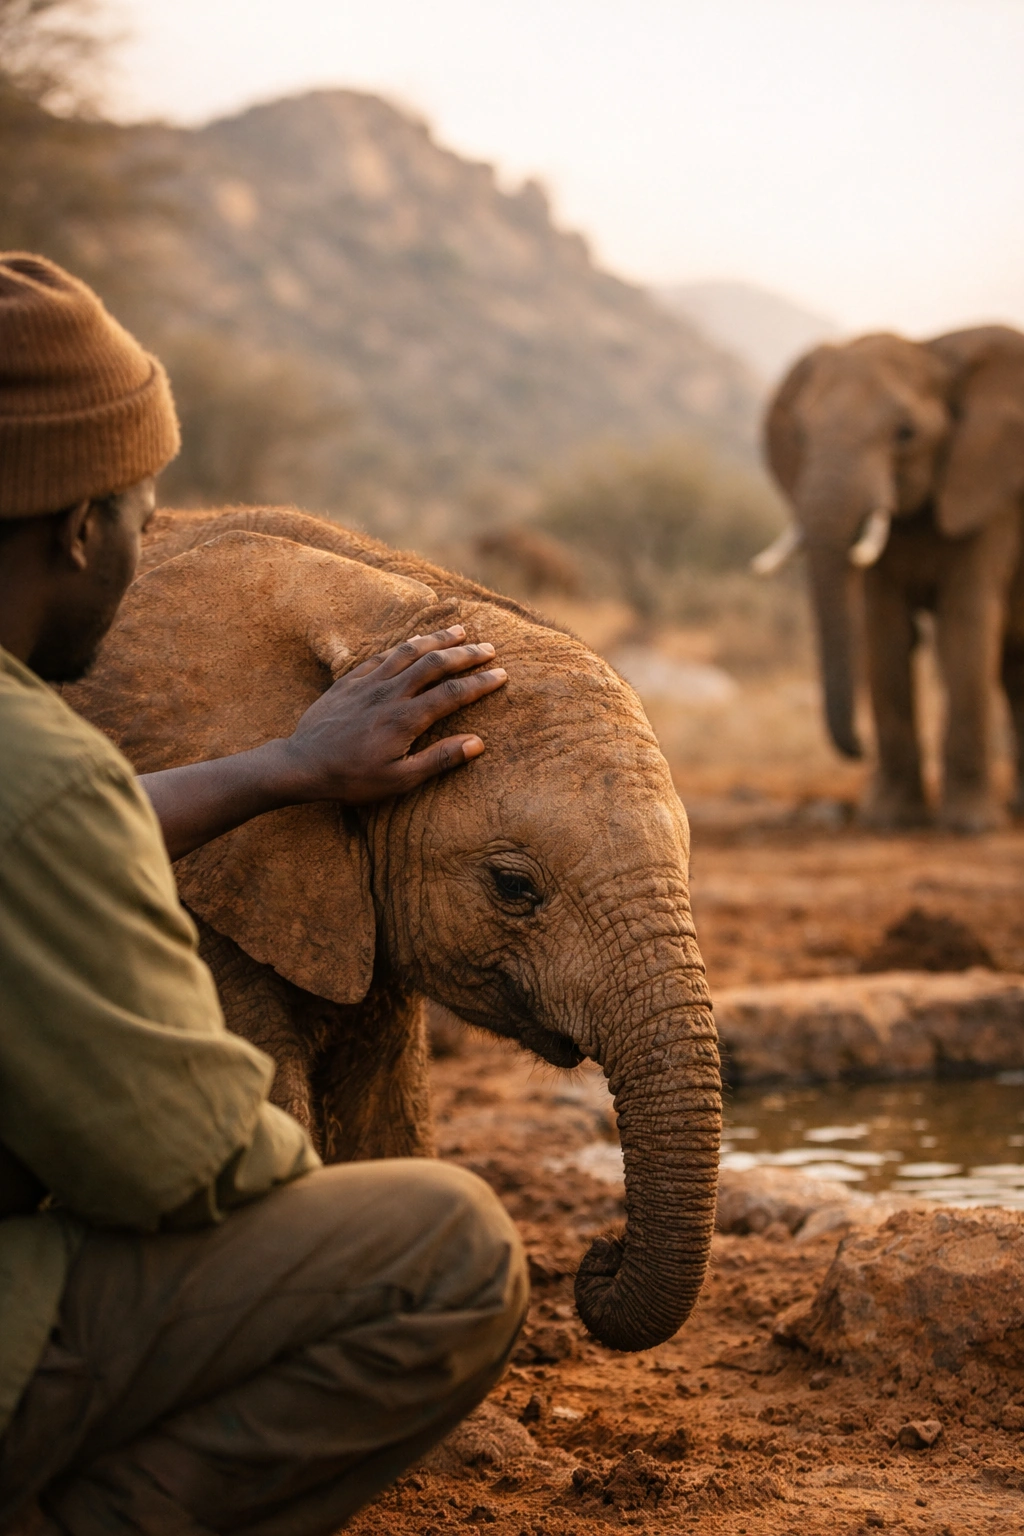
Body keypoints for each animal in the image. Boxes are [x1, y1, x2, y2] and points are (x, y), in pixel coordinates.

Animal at [753, 325, 1024, 831]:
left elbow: (966, 623)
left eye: (906, 433)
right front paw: (890, 820)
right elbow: (882, 629)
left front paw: (969, 826)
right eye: (800, 434)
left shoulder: (990, 499)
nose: (858, 749)